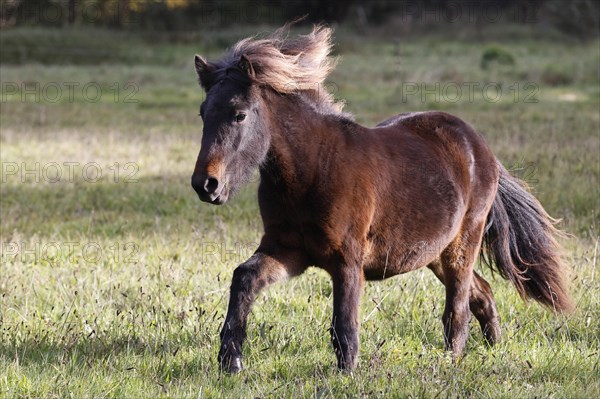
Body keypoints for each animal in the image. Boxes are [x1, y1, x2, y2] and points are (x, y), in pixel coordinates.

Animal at [191, 25, 572, 376]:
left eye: (239, 114)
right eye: (203, 112)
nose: (205, 184)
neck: (312, 170)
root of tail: (481, 147)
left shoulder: (347, 260)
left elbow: (344, 325)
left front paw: (345, 375)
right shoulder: (288, 251)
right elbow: (244, 278)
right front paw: (230, 362)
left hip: (463, 245)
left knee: (458, 309)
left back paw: (452, 361)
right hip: (435, 253)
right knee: (483, 292)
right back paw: (493, 348)